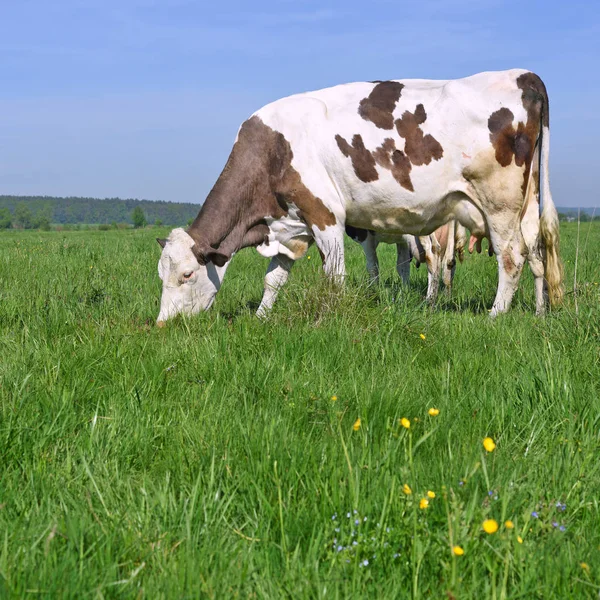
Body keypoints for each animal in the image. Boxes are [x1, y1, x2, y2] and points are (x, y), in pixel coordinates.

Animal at [156, 68, 564, 326]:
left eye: (187, 274)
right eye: (161, 274)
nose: (162, 324)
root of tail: (522, 74)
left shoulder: (325, 215)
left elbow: (334, 276)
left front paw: (328, 320)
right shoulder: (291, 224)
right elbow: (274, 278)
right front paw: (260, 317)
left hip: (499, 204)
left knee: (511, 257)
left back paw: (495, 315)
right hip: (526, 205)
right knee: (537, 253)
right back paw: (540, 313)